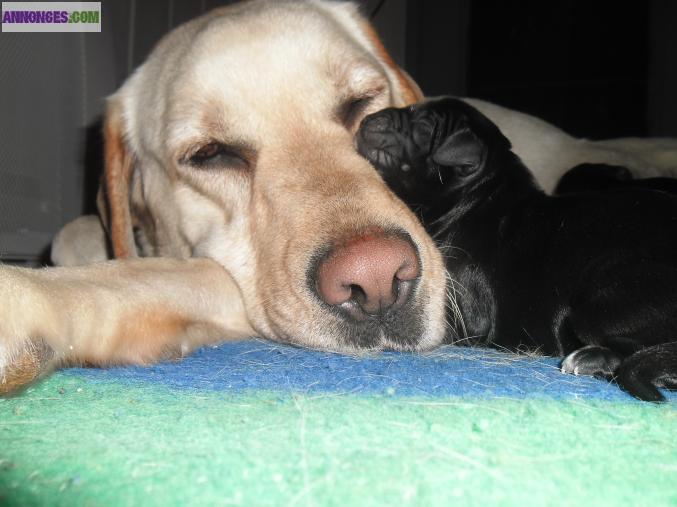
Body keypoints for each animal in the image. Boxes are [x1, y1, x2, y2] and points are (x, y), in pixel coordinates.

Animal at [356, 97, 672, 402]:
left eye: (423, 127)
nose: (371, 116)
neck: (475, 197)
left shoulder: (463, 312)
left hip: (603, 296)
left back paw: (592, 358)